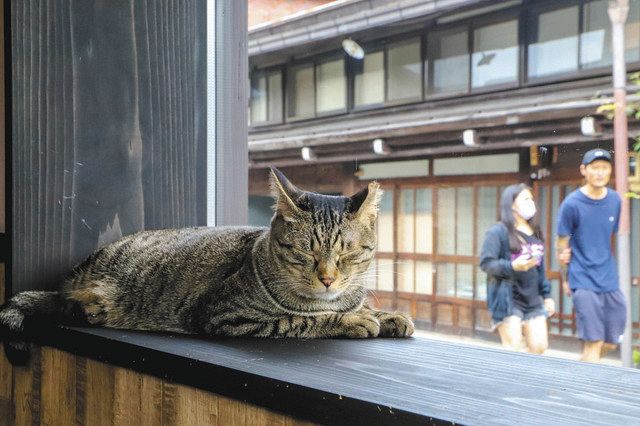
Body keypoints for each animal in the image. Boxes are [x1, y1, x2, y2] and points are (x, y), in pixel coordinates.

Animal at [0, 168, 416, 362]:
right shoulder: (225, 314)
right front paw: (354, 319)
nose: (328, 279)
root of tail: (70, 279)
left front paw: (387, 314)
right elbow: (300, 320)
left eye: (347, 254)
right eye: (304, 253)